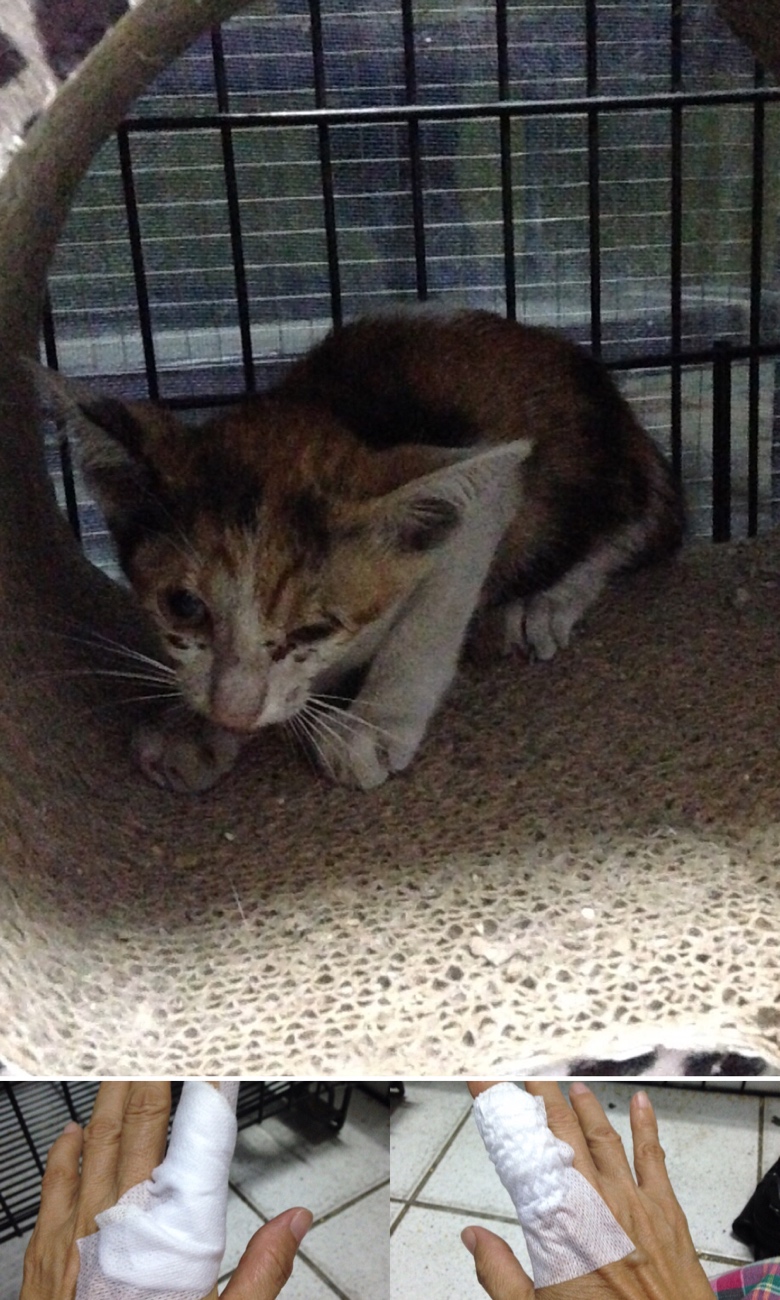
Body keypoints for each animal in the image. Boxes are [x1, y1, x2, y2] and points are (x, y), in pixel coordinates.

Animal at [35, 308, 685, 792]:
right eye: (184, 606)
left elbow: (431, 614)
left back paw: (542, 605)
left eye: (312, 629)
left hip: (583, 470)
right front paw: (192, 728)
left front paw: (373, 723)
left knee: (628, 530)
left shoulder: (489, 494)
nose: (232, 710)